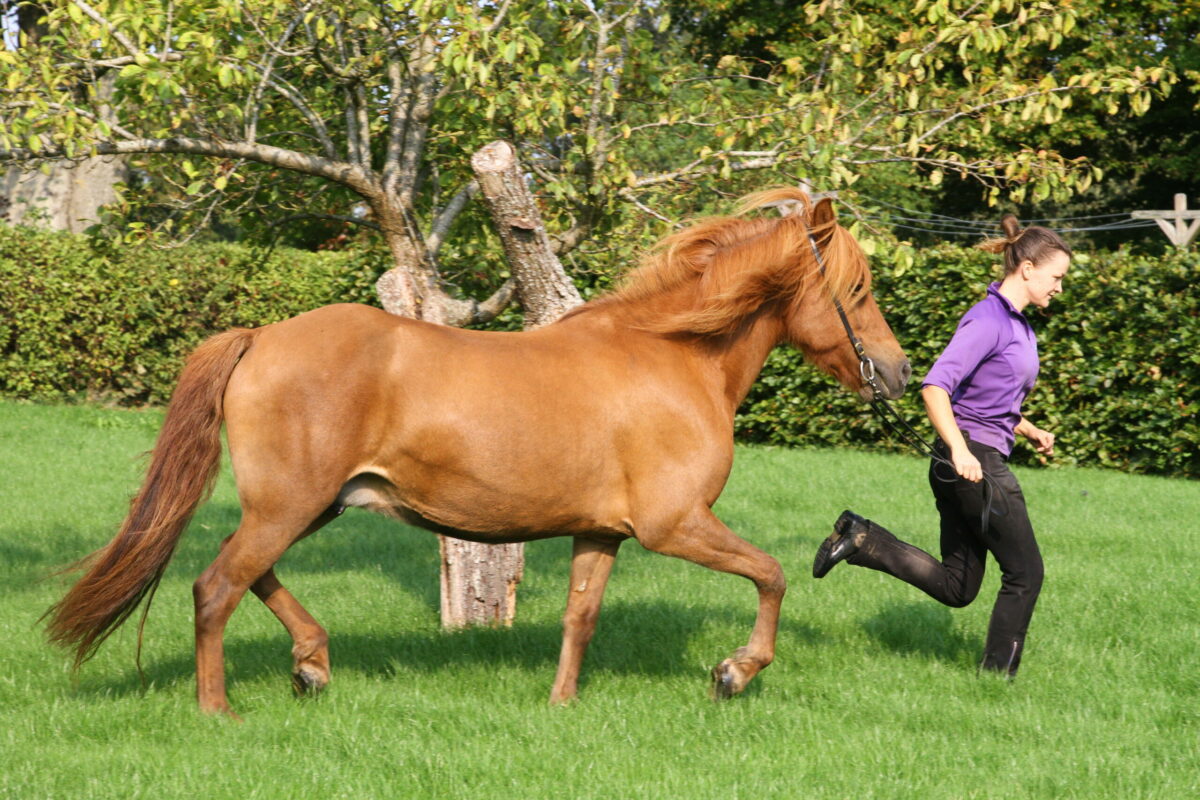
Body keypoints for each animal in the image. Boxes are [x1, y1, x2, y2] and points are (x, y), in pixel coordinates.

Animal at [44, 190, 907, 714]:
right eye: (859, 291)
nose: (898, 372)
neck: (671, 355)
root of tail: (260, 336)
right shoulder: (676, 525)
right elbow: (773, 574)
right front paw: (734, 670)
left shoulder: (601, 532)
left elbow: (580, 616)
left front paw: (561, 704)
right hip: (290, 506)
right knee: (216, 586)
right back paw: (219, 708)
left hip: (310, 506)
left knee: (246, 573)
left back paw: (312, 663)